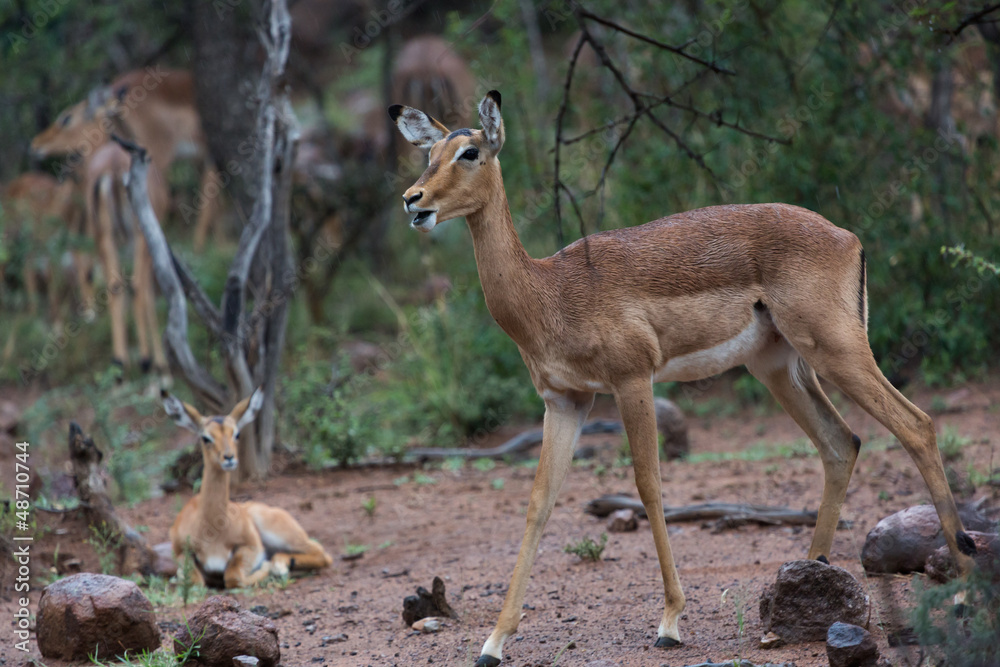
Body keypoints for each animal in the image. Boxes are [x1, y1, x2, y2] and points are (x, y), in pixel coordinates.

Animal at [163, 389, 333, 589]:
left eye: (236, 434)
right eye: (206, 437)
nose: (229, 458)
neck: (212, 527)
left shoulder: (251, 547)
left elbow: (233, 576)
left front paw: (268, 568)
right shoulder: (182, 552)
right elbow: (196, 581)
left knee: (322, 553)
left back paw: (280, 566)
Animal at [388, 91, 977, 666]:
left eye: (470, 152)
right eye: (429, 153)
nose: (413, 200)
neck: (547, 292)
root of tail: (849, 238)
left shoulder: (632, 380)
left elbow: (649, 485)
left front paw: (670, 622)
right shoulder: (565, 401)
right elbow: (539, 502)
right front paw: (493, 642)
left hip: (838, 352)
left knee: (916, 425)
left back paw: (964, 590)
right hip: (779, 366)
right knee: (841, 443)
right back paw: (806, 586)